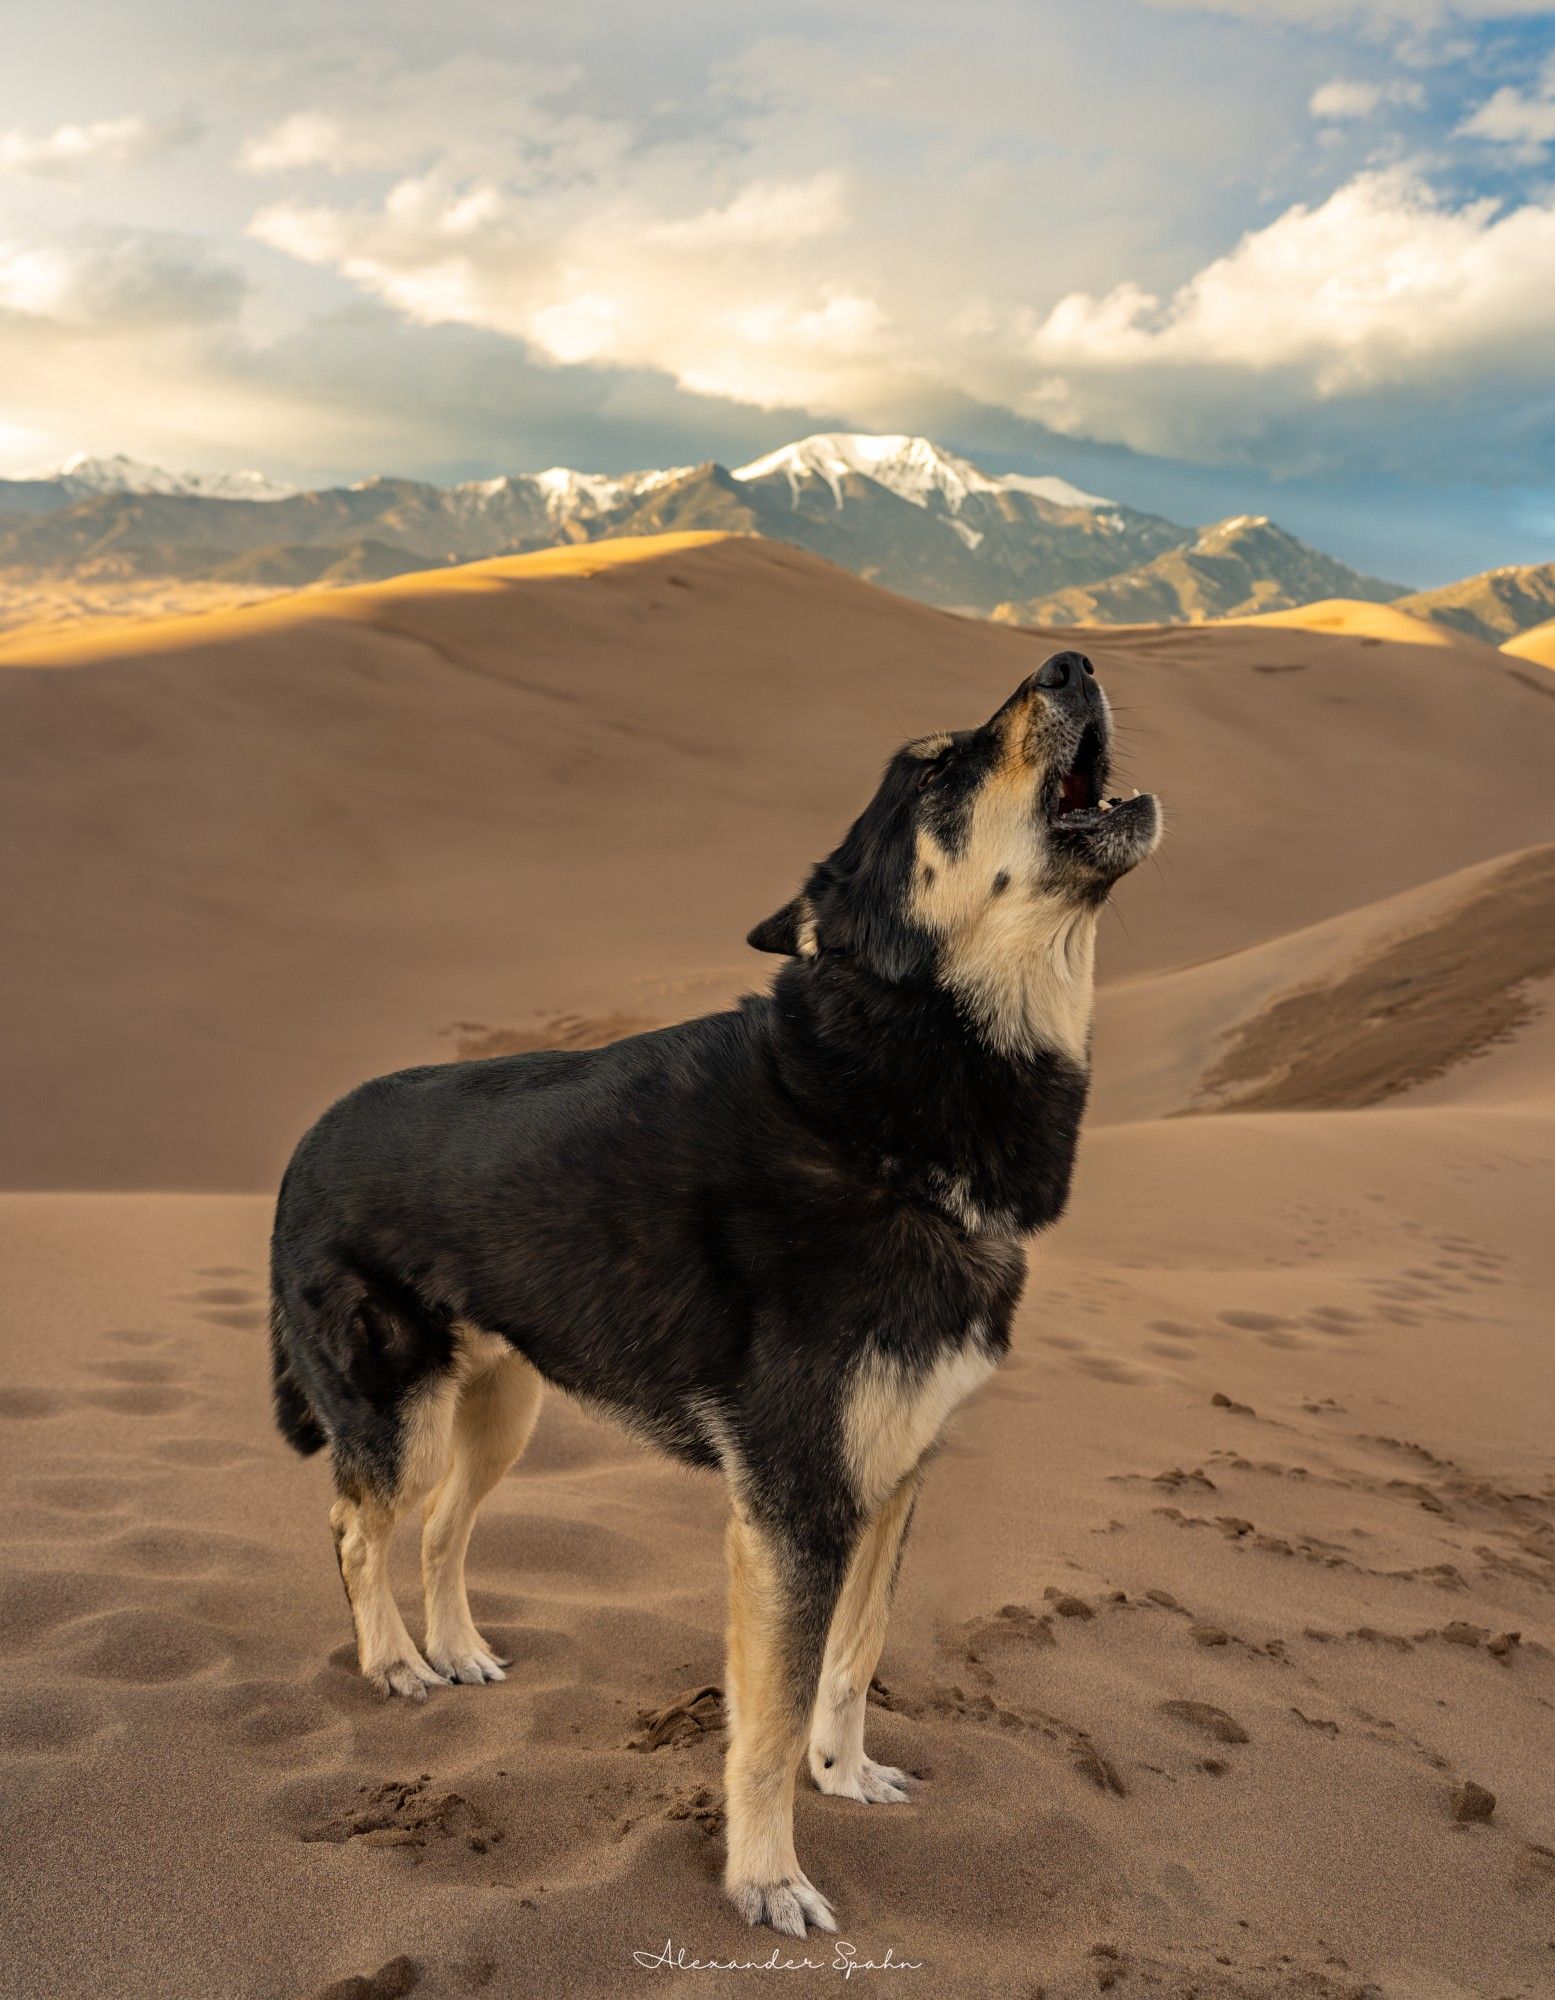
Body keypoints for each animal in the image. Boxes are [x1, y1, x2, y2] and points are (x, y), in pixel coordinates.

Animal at [271, 656, 1159, 1936]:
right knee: (358, 1523)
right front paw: (765, 1875)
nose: (1071, 665)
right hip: (398, 1406)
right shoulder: (794, 1502)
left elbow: (855, 1654)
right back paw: (392, 1660)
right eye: (935, 767)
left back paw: (459, 1649)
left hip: (502, 1408)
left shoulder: (890, 1478)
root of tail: (300, 1144)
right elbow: (770, 1715)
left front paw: (846, 1772)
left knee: (439, 1524)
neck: (875, 1103)